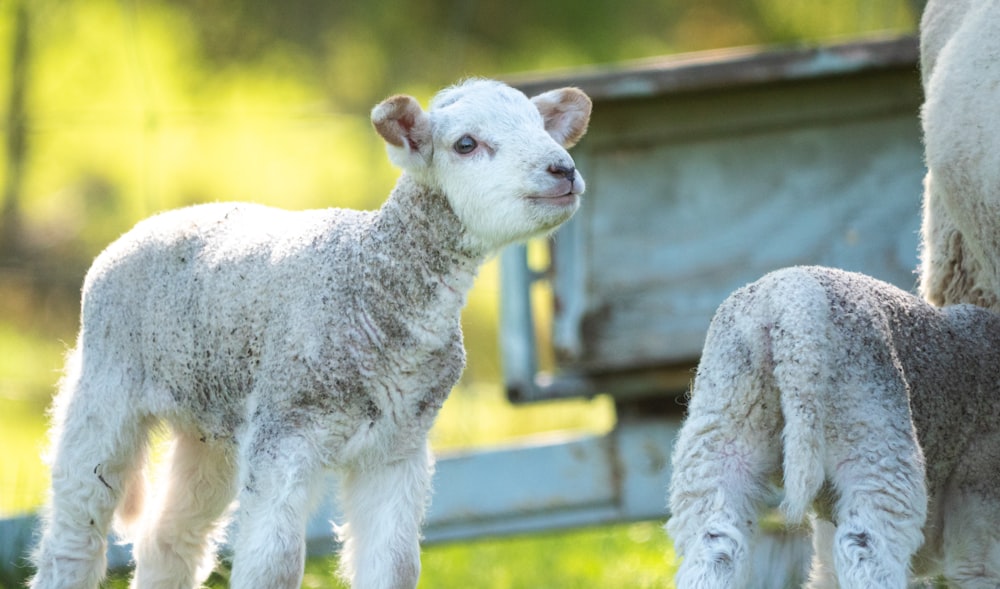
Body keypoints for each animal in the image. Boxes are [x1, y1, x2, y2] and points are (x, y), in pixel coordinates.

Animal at [29, 79, 592, 588]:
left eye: (540, 127)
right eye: (466, 144)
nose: (563, 169)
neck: (371, 282)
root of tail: (143, 228)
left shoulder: (399, 445)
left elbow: (395, 567)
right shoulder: (287, 430)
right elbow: (273, 567)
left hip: (211, 424)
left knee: (170, 538)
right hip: (104, 389)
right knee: (75, 535)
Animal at [668, 264, 1000, 584]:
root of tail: (790, 306)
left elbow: (826, 572)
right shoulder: (979, 488)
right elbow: (976, 570)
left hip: (721, 430)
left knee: (715, 543)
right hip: (869, 431)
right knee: (868, 550)